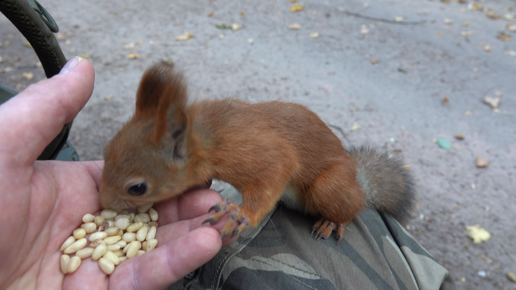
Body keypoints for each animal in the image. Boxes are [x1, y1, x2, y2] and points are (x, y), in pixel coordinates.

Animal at [100, 62, 416, 240]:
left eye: (137, 187)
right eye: (105, 151)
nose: (104, 203)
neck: (210, 138)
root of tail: (356, 176)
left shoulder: (258, 152)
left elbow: (273, 176)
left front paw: (240, 214)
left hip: (330, 187)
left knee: (354, 205)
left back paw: (332, 221)